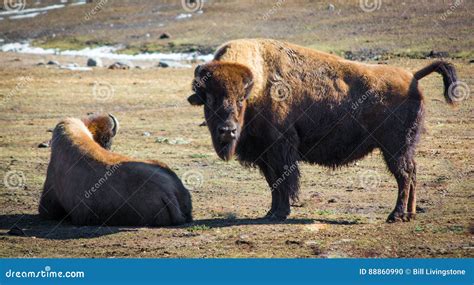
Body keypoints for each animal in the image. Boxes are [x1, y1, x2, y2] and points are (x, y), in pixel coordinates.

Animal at [189, 37, 460, 221]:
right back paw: (409, 215)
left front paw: (280, 213)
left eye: (240, 100)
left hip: (394, 148)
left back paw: (395, 215)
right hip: (404, 148)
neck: (259, 84)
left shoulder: (280, 149)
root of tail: (413, 76)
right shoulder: (265, 155)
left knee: (404, 176)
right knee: (412, 173)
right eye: (208, 99)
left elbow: (283, 181)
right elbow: (273, 183)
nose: (227, 131)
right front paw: (271, 212)